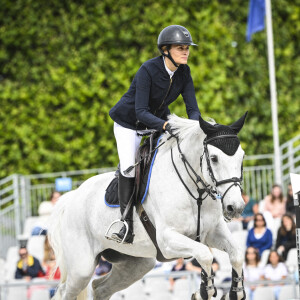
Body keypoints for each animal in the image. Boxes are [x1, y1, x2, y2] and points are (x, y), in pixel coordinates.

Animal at [48, 113, 247, 300]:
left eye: (242, 156)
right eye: (214, 158)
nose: (235, 207)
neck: (195, 191)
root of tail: (72, 197)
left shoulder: (212, 232)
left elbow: (236, 254)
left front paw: (235, 293)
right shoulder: (167, 240)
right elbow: (205, 254)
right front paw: (204, 292)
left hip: (137, 263)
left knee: (100, 288)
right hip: (81, 269)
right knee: (65, 292)